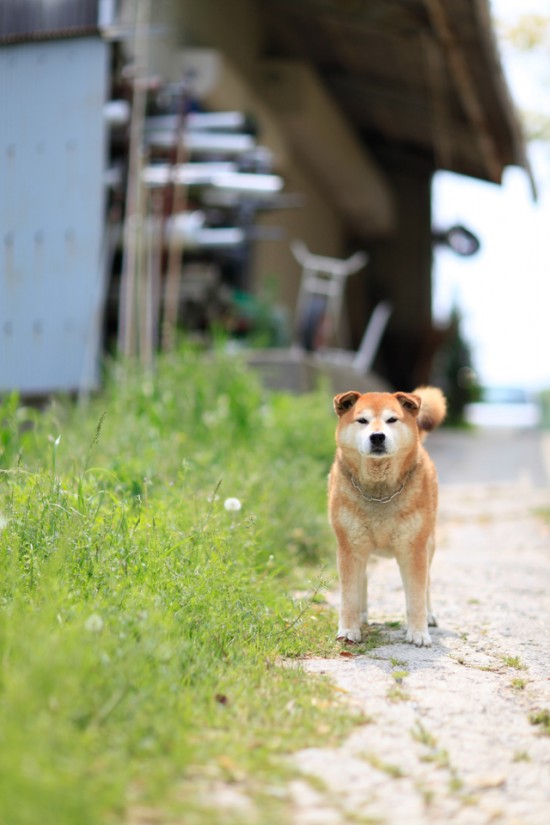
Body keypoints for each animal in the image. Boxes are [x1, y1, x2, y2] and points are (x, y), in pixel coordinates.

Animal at [330, 384, 446, 648]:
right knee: (362, 581)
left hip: (429, 543)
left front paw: (418, 633)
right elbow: (349, 596)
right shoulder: (349, 546)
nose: (377, 436)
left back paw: (430, 615)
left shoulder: (413, 549)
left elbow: (416, 596)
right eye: (362, 420)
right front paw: (348, 630)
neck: (379, 493)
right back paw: (362, 615)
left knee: (427, 584)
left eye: (392, 419)